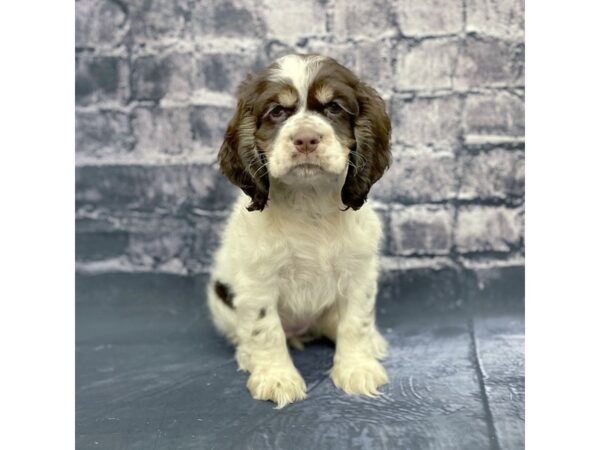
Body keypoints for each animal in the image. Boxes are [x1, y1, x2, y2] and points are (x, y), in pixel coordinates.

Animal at [207, 53, 394, 408]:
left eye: (334, 107)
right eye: (276, 112)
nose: (306, 139)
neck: (310, 202)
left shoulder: (359, 273)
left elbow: (356, 322)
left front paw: (357, 368)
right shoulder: (258, 280)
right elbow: (265, 328)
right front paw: (277, 377)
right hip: (221, 301)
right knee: (244, 331)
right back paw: (248, 355)